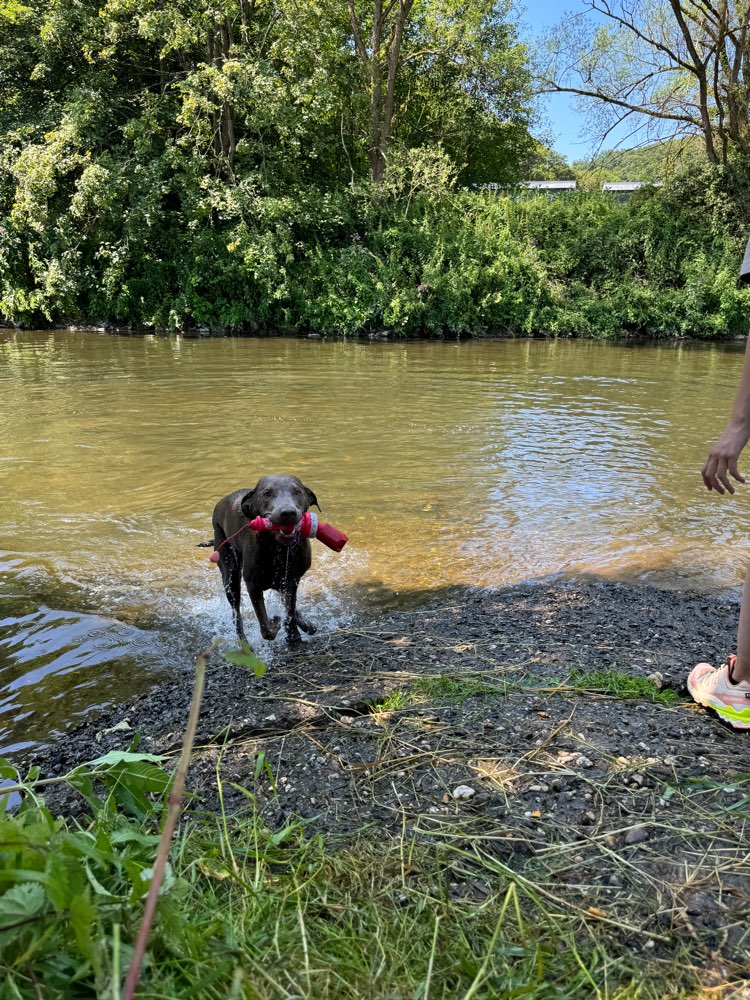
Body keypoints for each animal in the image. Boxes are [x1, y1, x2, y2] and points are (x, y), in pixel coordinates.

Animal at [210, 478, 322, 648]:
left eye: (297, 492)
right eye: (267, 493)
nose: (287, 513)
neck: (279, 548)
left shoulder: (292, 579)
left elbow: (289, 609)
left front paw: (293, 634)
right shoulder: (253, 585)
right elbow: (266, 629)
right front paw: (276, 622)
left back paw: (305, 624)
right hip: (230, 575)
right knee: (237, 618)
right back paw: (245, 646)